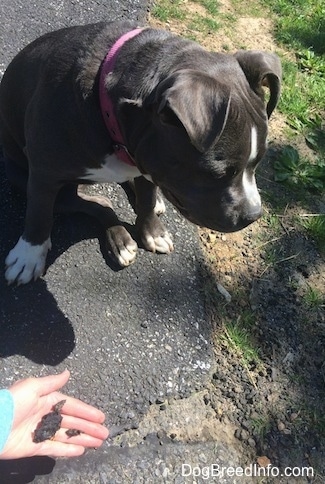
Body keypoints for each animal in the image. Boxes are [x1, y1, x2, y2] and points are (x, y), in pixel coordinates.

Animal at [0, 19, 280, 284]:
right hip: (22, 175)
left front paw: (152, 232)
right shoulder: (43, 175)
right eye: (217, 174)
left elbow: (145, 201)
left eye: (258, 162)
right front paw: (29, 255)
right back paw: (120, 240)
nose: (253, 216)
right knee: (99, 203)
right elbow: (39, 215)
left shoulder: (149, 159)